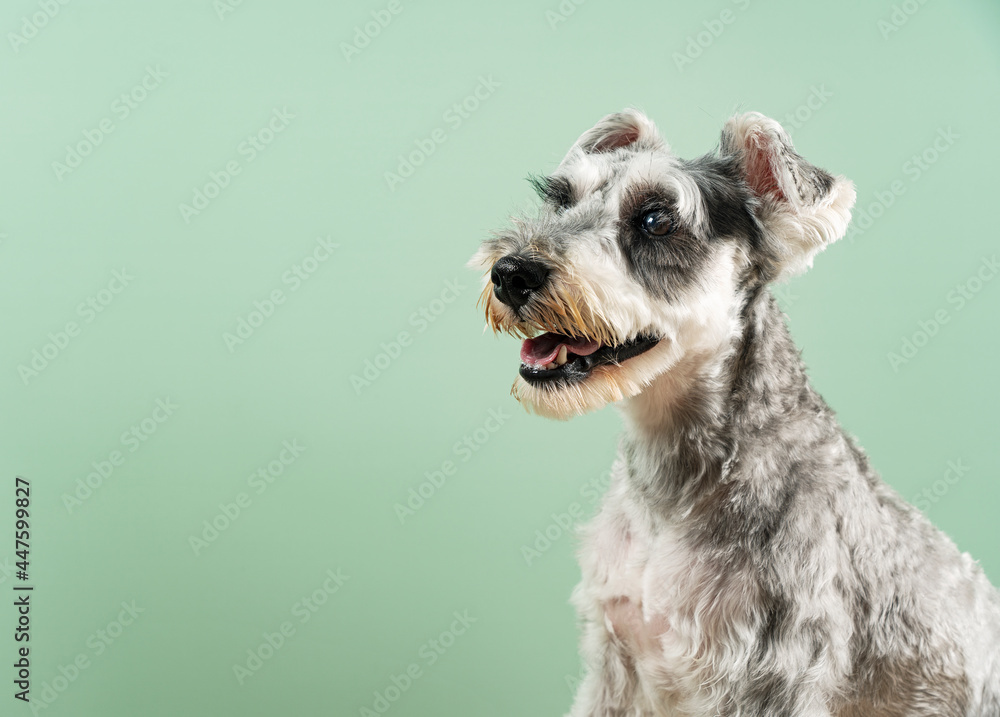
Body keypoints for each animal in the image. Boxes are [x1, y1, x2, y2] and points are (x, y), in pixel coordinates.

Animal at [468, 110, 1000, 716]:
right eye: (559, 199)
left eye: (655, 219)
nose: (511, 272)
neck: (671, 490)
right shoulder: (614, 663)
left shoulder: (768, 677)